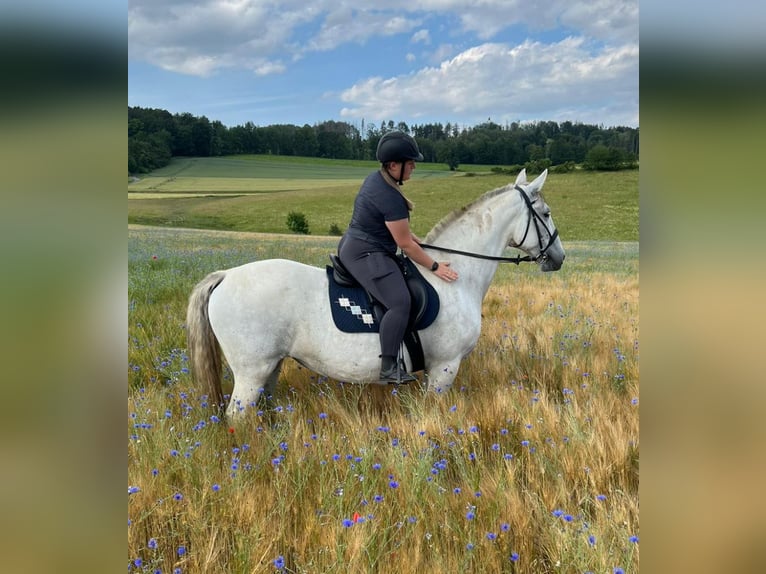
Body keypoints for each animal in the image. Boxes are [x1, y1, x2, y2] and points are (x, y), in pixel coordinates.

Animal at [189, 170, 568, 418]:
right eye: (546, 213)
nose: (559, 257)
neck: (456, 278)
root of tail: (226, 276)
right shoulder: (444, 368)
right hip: (251, 372)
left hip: (271, 367)